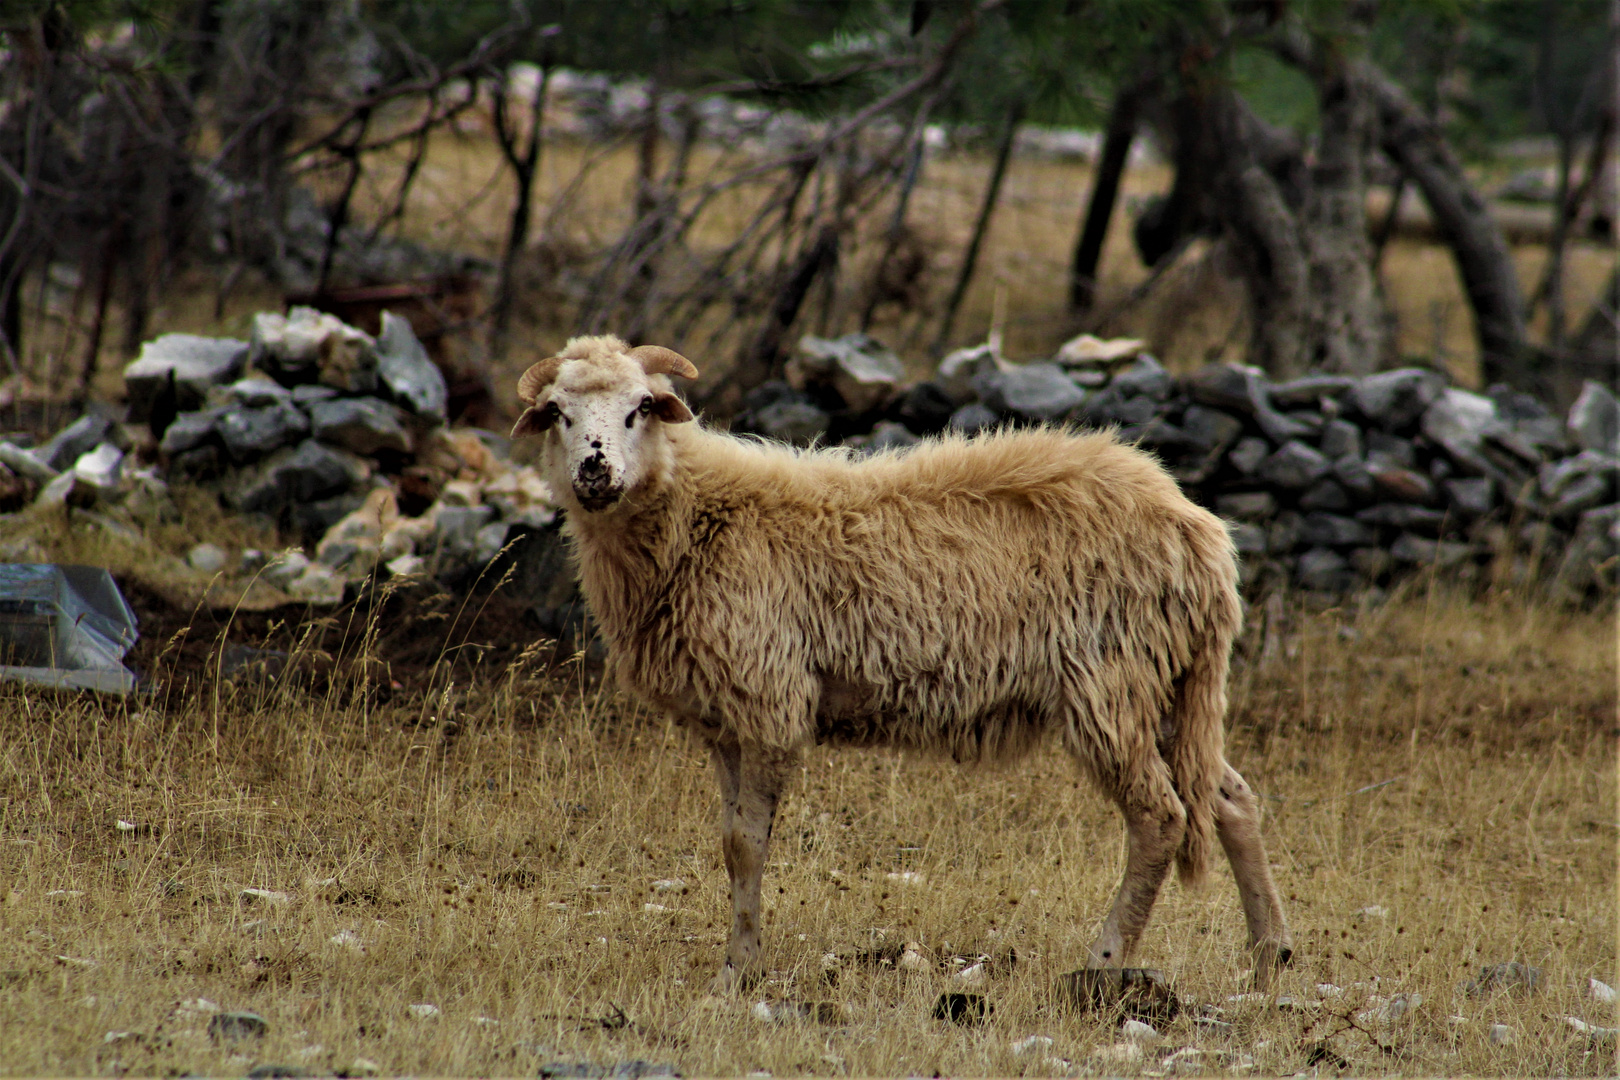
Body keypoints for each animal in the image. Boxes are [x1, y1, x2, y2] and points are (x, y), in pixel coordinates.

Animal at [511, 335, 1296, 997]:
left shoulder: (769, 703)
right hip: (1167, 683)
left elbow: (748, 846)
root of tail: (1200, 532)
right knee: (1229, 799)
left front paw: (739, 972)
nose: (595, 468)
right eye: (557, 413)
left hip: (1112, 680)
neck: (699, 517)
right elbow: (733, 843)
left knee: (1161, 815)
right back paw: (1269, 959)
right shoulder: (725, 720)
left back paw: (1104, 960)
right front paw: (740, 961)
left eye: (641, 407)